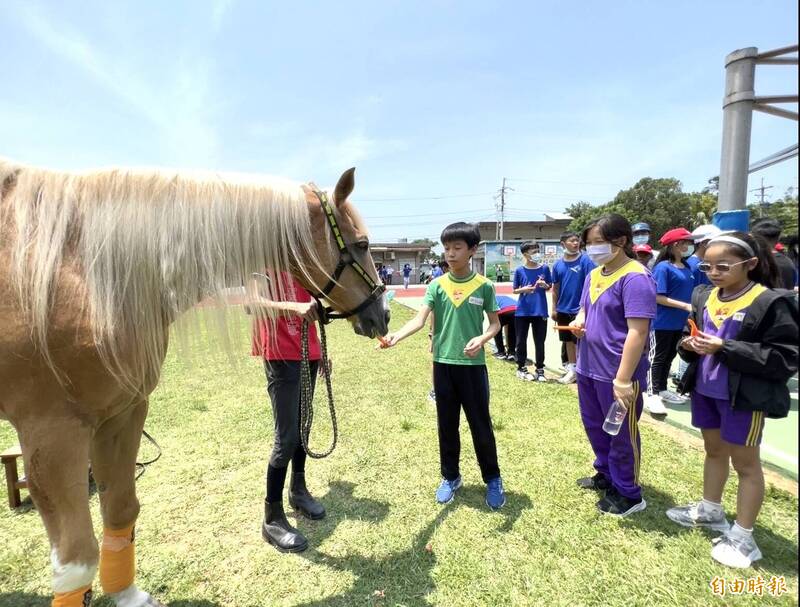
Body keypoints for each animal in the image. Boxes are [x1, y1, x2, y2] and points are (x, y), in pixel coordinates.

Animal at [0, 158, 390, 607]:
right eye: (362, 244)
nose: (383, 315)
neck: (88, 275)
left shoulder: (123, 413)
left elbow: (122, 510)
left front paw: (129, 596)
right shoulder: (51, 435)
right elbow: (76, 560)